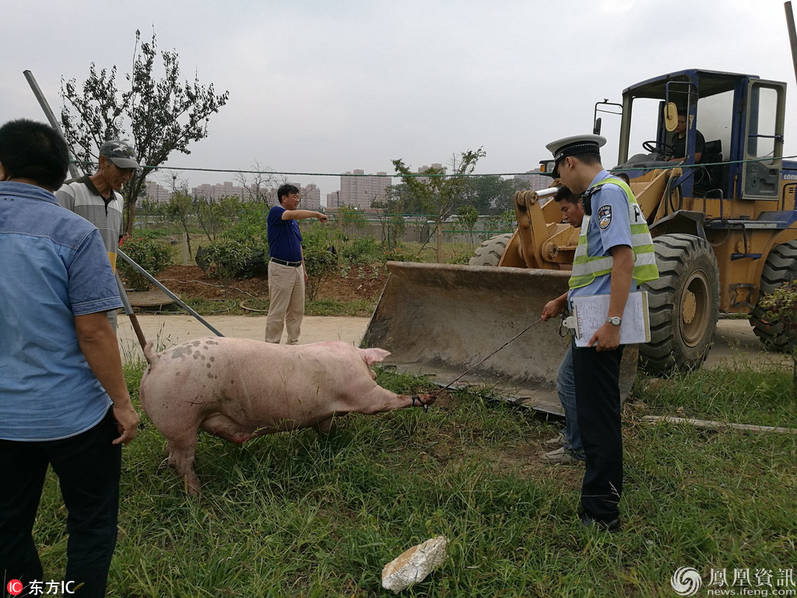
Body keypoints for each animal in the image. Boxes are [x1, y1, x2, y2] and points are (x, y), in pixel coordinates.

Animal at [138, 340, 436, 494]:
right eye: (373, 374)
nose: (374, 374)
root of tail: (156, 359)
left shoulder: (323, 414)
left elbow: (326, 428)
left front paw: (331, 442)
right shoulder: (363, 392)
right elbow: (386, 400)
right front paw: (426, 398)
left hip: (176, 427)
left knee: (173, 456)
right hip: (181, 419)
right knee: (181, 461)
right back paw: (198, 495)